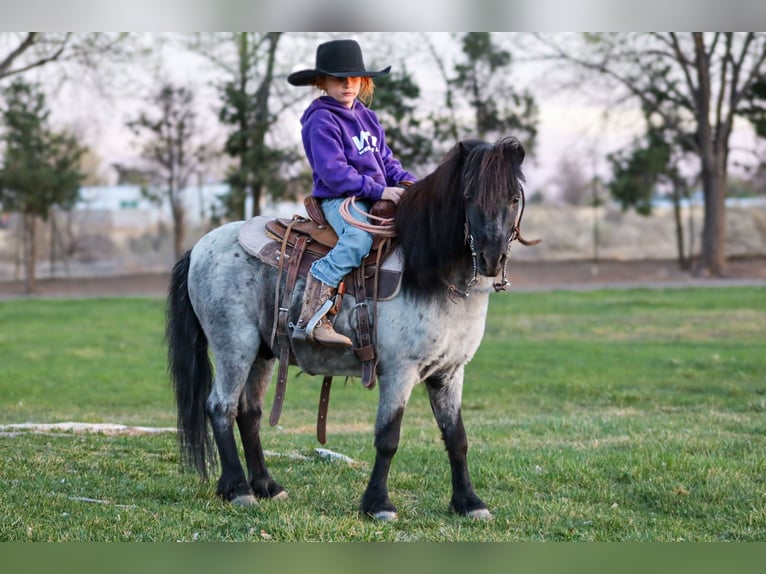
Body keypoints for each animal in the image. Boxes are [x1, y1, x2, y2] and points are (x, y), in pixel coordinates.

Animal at [166, 136, 535, 520]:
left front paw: (469, 502)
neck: (429, 273)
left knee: (249, 412)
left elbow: (456, 436)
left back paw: (267, 486)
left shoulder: (448, 372)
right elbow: (388, 437)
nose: (492, 258)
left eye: (513, 198)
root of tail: (199, 247)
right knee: (220, 407)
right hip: (234, 346)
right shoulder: (400, 371)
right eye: (469, 195)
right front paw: (379, 504)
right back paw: (238, 488)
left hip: (262, 353)